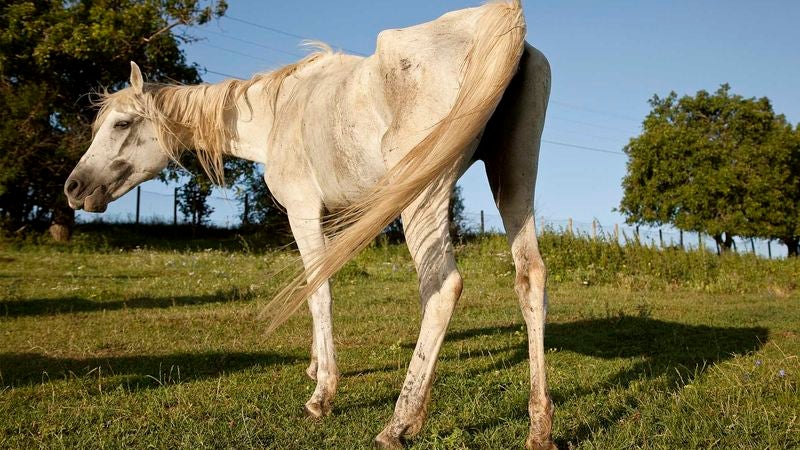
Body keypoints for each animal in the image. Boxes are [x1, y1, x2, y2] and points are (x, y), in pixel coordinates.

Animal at [65, 1, 556, 448]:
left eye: (122, 123)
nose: (74, 187)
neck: (277, 113)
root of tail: (497, 20)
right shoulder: (333, 219)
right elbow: (316, 287)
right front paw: (316, 366)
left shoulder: (303, 212)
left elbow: (318, 292)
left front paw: (322, 395)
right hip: (514, 179)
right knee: (529, 277)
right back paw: (539, 428)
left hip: (425, 197)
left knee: (441, 287)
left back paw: (398, 424)